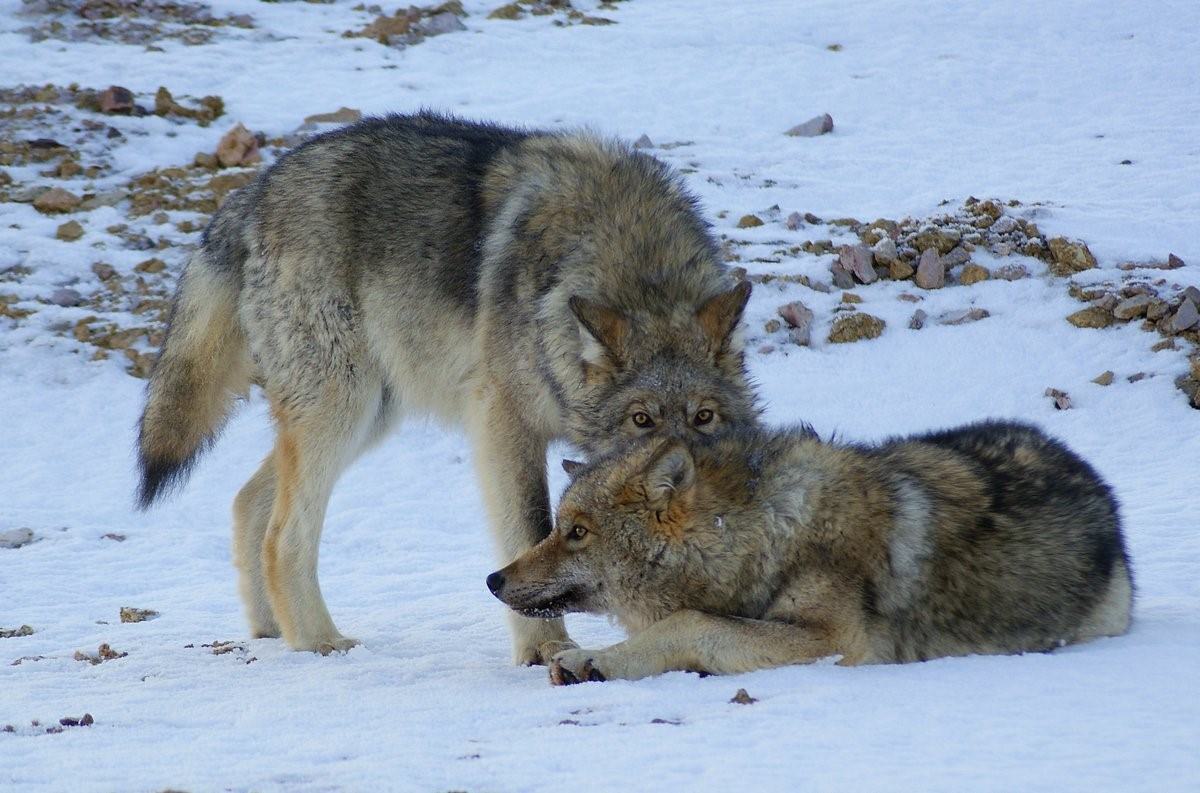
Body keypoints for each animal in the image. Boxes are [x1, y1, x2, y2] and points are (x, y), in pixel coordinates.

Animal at [136, 111, 753, 657]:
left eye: (704, 417)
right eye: (641, 419)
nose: (686, 483)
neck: (637, 267)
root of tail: (254, 191)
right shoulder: (503, 423)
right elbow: (530, 532)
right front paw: (543, 650)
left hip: (372, 414)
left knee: (248, 503)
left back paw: (273, 631)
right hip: (344, 408)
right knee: (283, 535)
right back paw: (318, 643)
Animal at [487, 419, 1132, 681]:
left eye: (576, 532)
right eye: (557, 526)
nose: (492, 580)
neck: (762, 532)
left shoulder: (835, 641)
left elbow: (690, 622)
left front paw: (593, 660)